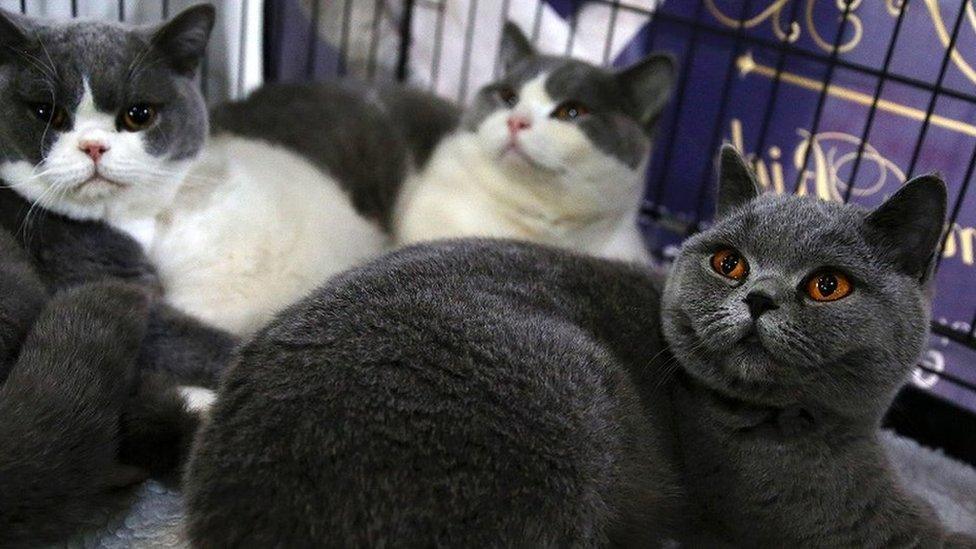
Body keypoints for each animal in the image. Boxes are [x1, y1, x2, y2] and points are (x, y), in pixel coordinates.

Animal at [181, 146, 968, 548]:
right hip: (565, 391)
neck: (829, 429)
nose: (759, 296)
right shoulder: (825, 521)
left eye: (829, 285)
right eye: (730, 263)